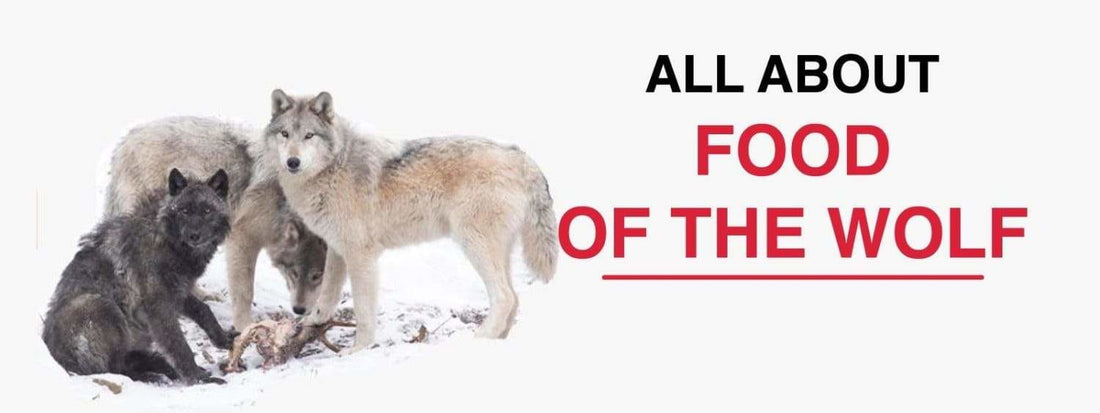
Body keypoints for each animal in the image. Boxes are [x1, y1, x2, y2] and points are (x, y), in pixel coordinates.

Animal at [43, 169, 232, 385]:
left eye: (207, 210)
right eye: (184, 211)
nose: (194, 235)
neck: (166, 239)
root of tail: (58, 358)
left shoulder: (178, 292)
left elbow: (203, 310)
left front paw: (223, 339)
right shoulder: (158, 306)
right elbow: (179, 345)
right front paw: (198, 378)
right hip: (98, 305)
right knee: (117, 368)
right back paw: (151, 375)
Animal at [105, 117, 328, 330]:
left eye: (317, 276)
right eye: (295, 273)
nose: (301, 310)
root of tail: (125, 141)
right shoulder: (242, 237)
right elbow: (245, 292)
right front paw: (245, 327)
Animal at [261, 90, 558, 352]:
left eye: (309, 135)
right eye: (285, 134)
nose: (293, 162)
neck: (332, 168)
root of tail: (522, 156)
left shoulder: (361, 255)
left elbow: (363, 310)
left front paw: (358, 348)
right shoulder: (337, 248)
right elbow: (328, 294)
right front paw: (314, 319)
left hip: (474, 244)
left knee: (505, 297)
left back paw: (480, 338)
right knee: (514, 298)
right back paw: (498, 340)